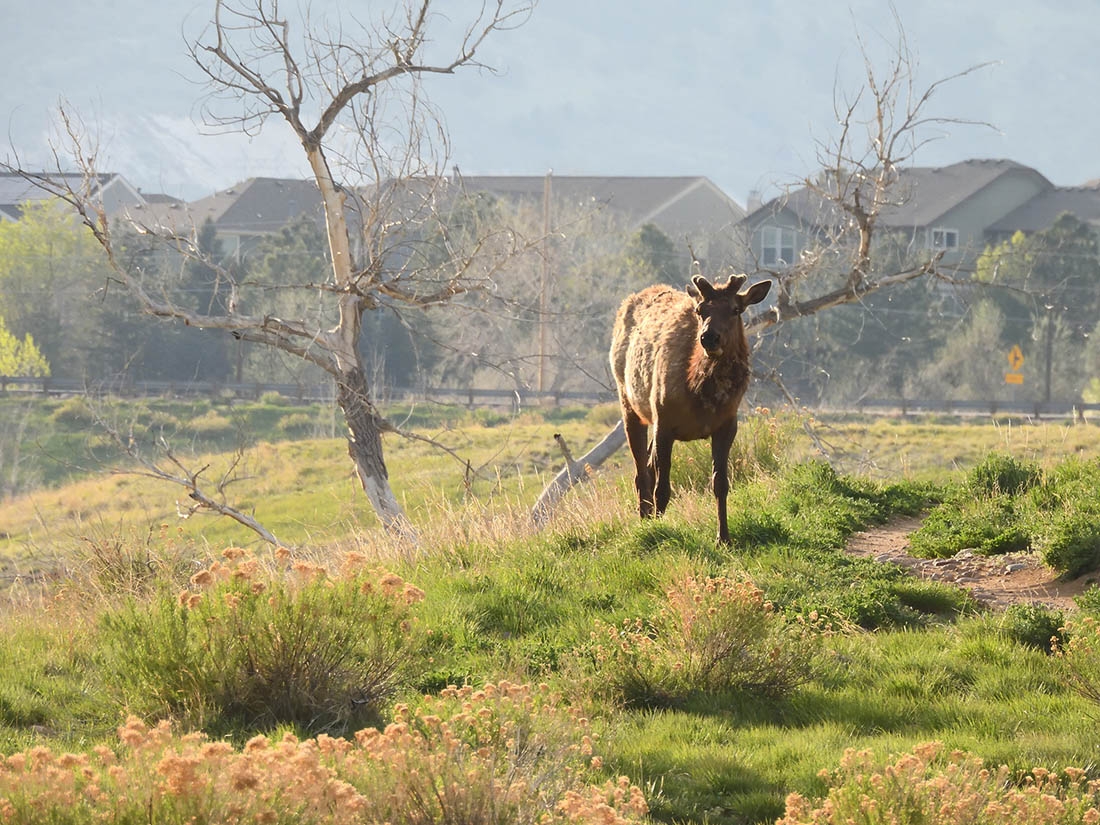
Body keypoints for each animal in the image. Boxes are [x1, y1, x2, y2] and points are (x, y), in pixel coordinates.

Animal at [609, 272, 772, 544]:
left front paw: (723, 538)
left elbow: (720, 484)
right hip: (630, 403)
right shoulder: (664, 420)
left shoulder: (727, 424)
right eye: (700, 310)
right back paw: (645, 520)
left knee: (648, 467)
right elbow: (663, 489)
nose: (709, 337)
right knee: (641, 472)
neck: (699, 393)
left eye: (735, 309)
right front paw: (659, 533)